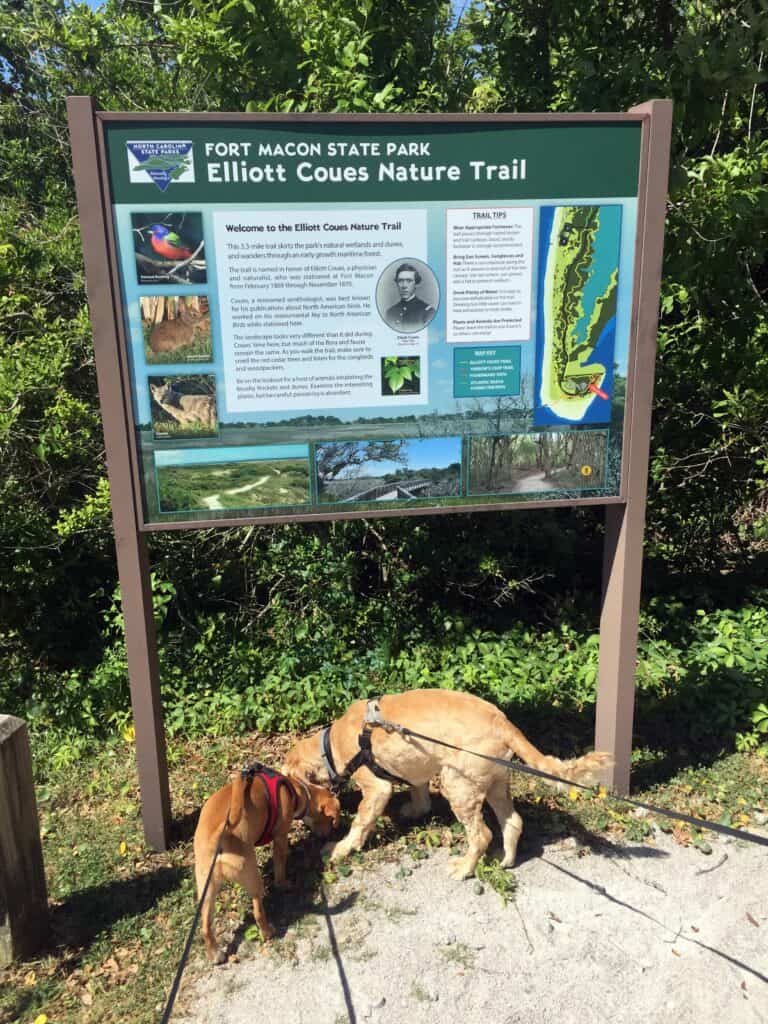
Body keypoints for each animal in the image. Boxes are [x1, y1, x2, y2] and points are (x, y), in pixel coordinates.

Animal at [193, 765, 337, 962]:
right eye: (330, 820)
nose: (329, 835)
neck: (296, 789)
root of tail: (221, 834)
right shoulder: (280, 836)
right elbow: (280, 863)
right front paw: (283, 883)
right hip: (252, 878)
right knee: (258, 912)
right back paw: (268, 932)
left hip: (206, 890)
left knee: (206, 926)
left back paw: (215, 954)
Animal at [284, 688, 614, 880]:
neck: (330, 745)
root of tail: (503, 722)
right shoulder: (415, 769)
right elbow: (419, 794)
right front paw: (414, 810)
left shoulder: (377, 789)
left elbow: (361, 823)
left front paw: (340, 848)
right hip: (495, 781)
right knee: (513, 821)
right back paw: (505, 860)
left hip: (458, 784)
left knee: (481, 835)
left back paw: (465, 869)